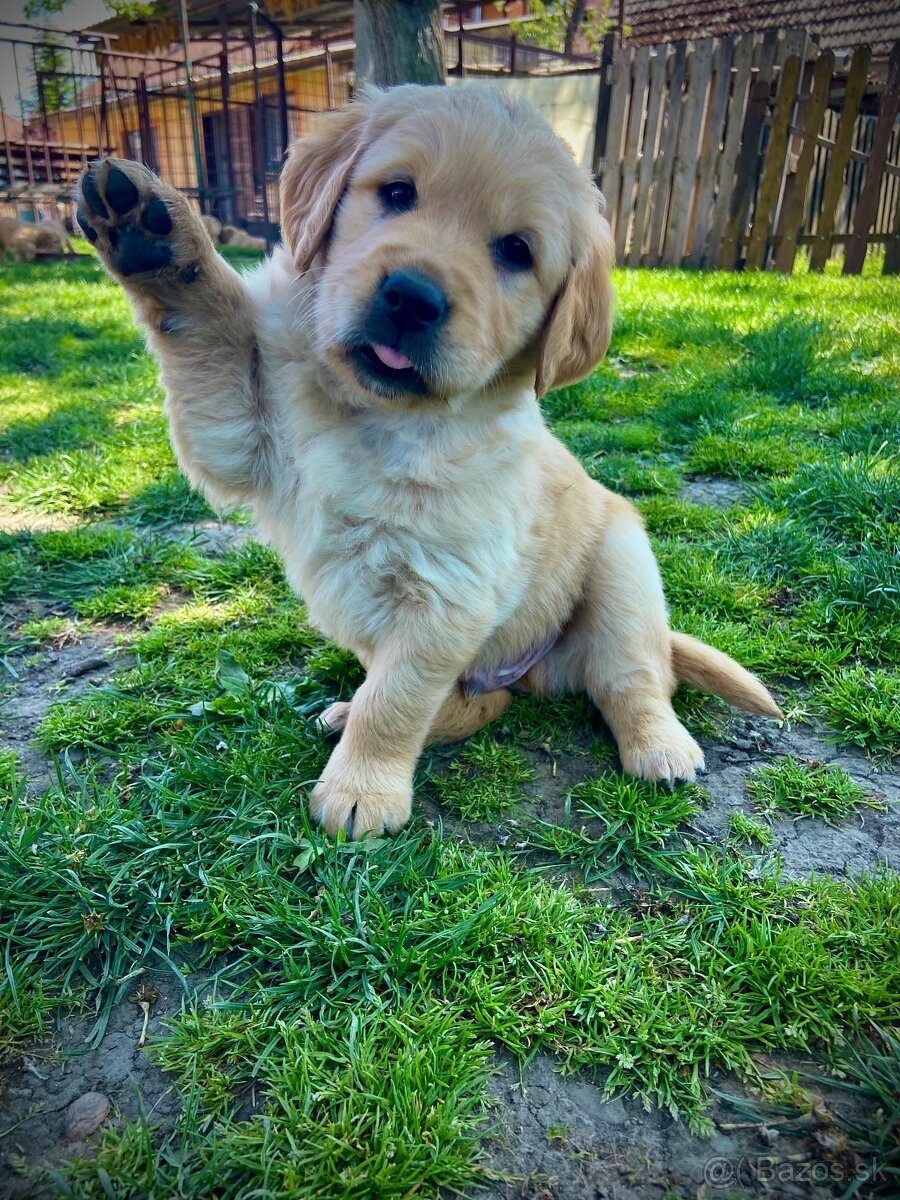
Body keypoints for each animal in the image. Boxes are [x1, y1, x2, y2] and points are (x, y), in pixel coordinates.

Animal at [77, 84, 782, 840]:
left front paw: (362, 791)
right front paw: (152, 233)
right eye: (397, 192)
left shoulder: (447, 591)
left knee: (633, 679)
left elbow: (397, 701)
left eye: (516, 251)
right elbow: (204, 328)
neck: (378, 415)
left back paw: (663, 748)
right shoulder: (239, 436)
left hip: (622, 567)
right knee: (480, 703)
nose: (411, 297)